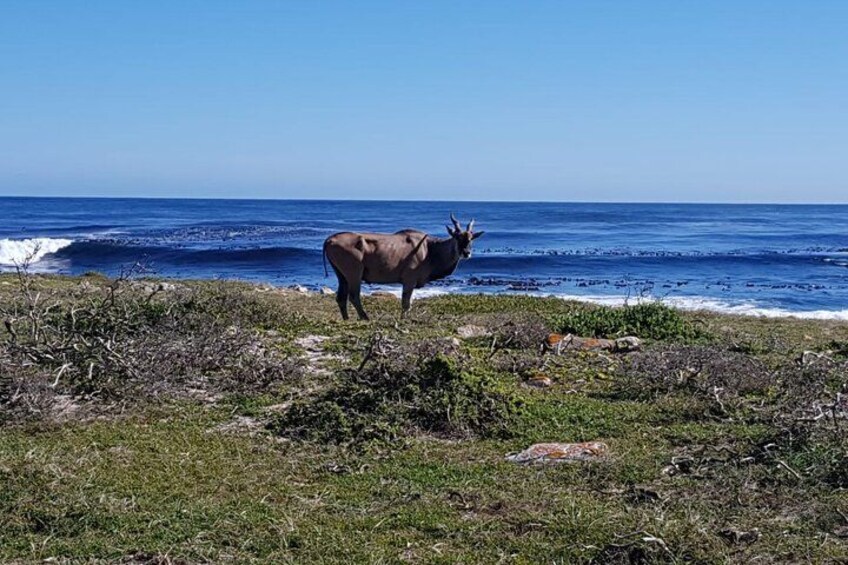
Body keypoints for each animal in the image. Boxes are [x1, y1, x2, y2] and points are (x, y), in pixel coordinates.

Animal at [322, 214, 485, 320]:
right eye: (457, 237)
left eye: (471, 239)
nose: (466, 252)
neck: (430, 249)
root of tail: (330, 239)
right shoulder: (409, 280)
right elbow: (406, 303)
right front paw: (403, 319)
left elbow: (408, 302)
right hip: (354, 273)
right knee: (354, 296)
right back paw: (365, 318)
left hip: (342, 275)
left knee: (341, 298)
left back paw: (347, 319)